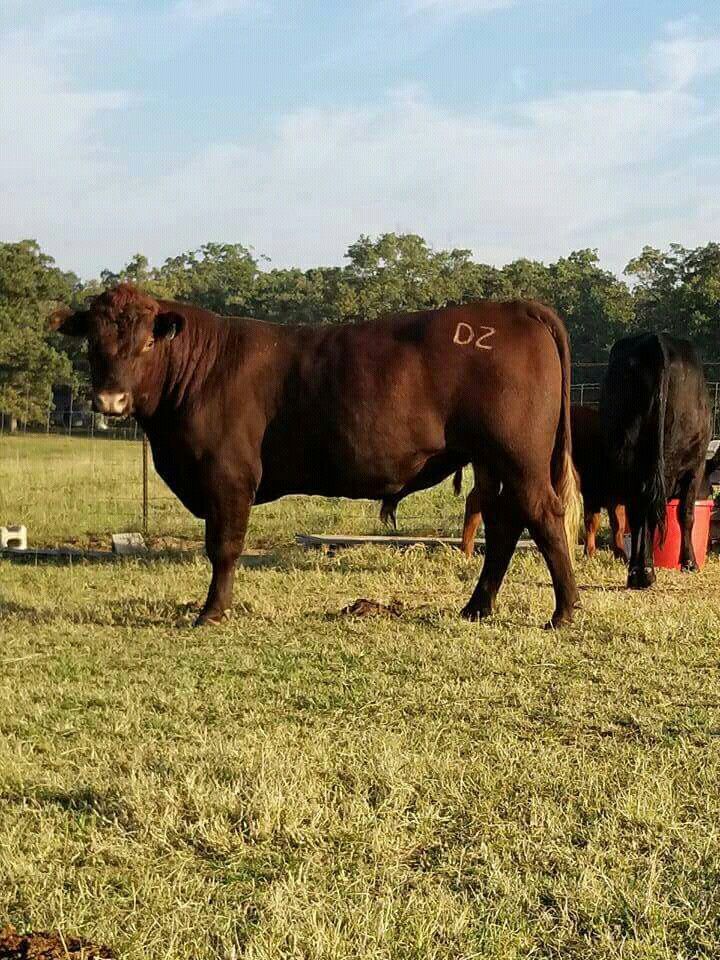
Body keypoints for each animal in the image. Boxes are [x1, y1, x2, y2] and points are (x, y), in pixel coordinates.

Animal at [50, 284, 584, 632]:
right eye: (93, 344)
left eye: (145, 342)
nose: (110, 400)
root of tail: (514, 307)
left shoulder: (228, 476)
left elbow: (223, 547)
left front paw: (211, 613)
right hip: (490, 462)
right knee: (504, 525)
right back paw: (476, 607)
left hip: (519, 458)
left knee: (543, 515)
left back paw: (563, 612)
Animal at [600, 332, 712, 584]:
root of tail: (654, 341)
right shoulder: (696, 466)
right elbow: (686, 514)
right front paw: (689, 562)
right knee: (651, 507)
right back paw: (647, 571)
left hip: (626, 456)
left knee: (637, 508)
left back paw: (637, 571)